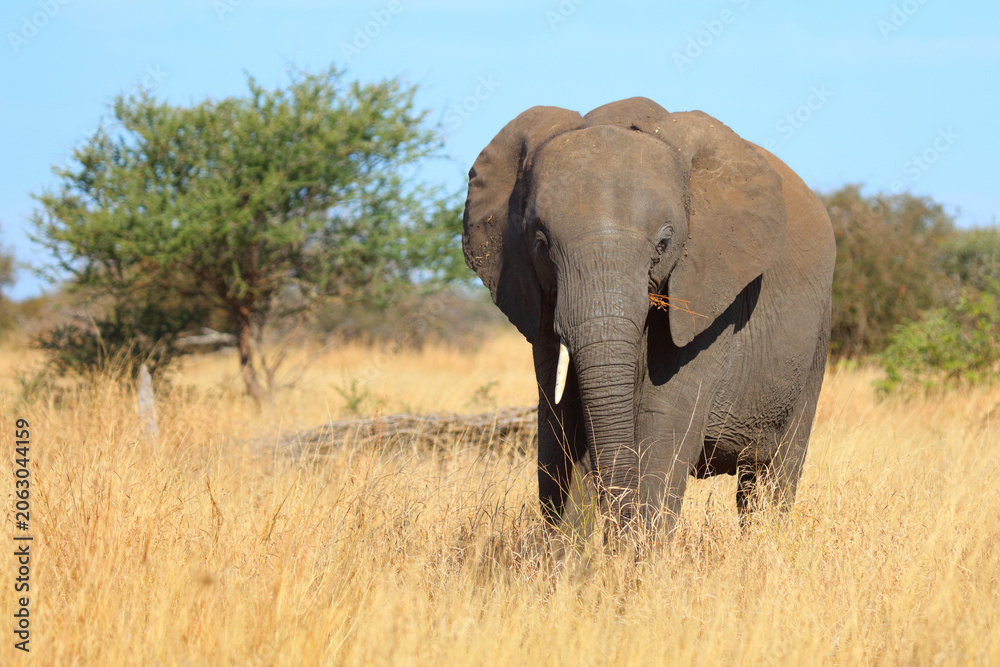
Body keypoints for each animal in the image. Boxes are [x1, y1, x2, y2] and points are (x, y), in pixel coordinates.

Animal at [462, 97, 835, 536]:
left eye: (664, 243)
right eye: (540, 242)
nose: (611, 521)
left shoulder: (709, 290)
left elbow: (665, 425)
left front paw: (637, 548)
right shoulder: (536, 296)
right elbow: (558, 427)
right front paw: (570, 546)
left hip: (817, 337)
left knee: (774, 473)